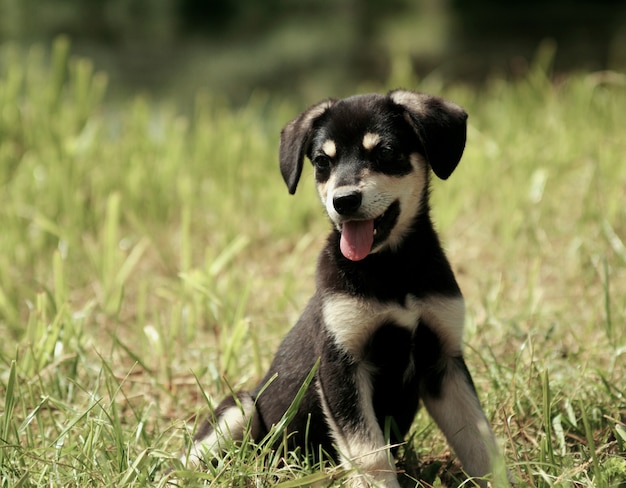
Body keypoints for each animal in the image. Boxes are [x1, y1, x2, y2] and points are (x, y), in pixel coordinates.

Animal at [180, 89, 498, 486]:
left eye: (386, 152)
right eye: (321, 161)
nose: (343, 201)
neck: (392, 268)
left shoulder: (444, 361)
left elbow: (479, 443)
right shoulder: (340, 365)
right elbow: (370, 455)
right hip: (242, 408)